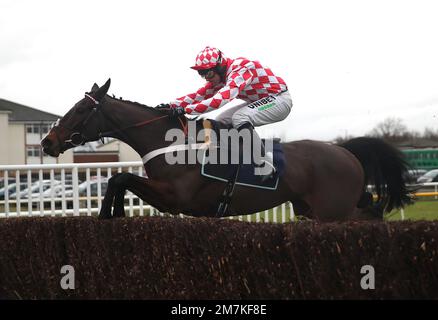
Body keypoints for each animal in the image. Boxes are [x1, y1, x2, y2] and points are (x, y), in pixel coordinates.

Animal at [41, 79, 414, 221]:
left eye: (80, 109)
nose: (48, 141)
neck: (173, 143)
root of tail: (346, 151)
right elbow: (119, 179)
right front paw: (114, 212)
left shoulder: (177, 198)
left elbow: (120, 178)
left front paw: (109, 213)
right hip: (315, 208)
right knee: (371, 210)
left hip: (333, 211)